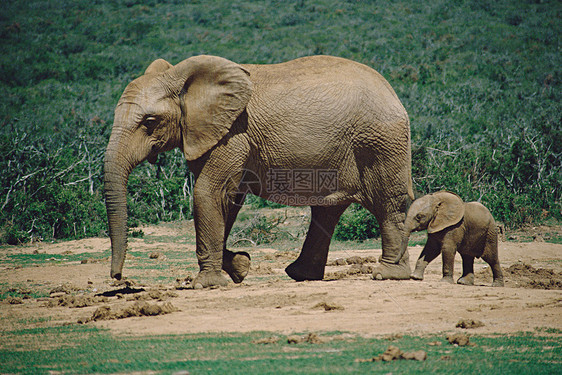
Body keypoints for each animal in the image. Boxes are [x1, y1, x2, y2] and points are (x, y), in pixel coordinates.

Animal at [104, 55, 412, 288]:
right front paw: (241, 266)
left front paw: (208, 284)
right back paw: (303, 275)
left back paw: (388, 274)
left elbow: (209, 193)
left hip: (379, 141)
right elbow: (228, 199)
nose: (118, 278)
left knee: (388, 204)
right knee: (328, 209)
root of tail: (392, 92)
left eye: (149, 122)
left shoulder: (232, 133)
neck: (180, 77)